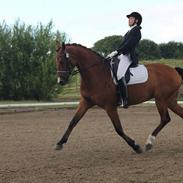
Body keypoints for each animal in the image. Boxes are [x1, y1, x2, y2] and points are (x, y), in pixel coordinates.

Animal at [55, 41, 183, 153]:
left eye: (62, 60)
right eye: (56, 60)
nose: (60, 81)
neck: (96, 73)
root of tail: (173, 70)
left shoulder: (109, 107)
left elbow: (118, 129)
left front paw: (136, 146)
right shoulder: (85, 102)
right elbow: (73, 122)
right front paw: (60, 143)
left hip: (160, 100)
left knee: (165, 119)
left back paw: (149, 143)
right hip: (169, 100)